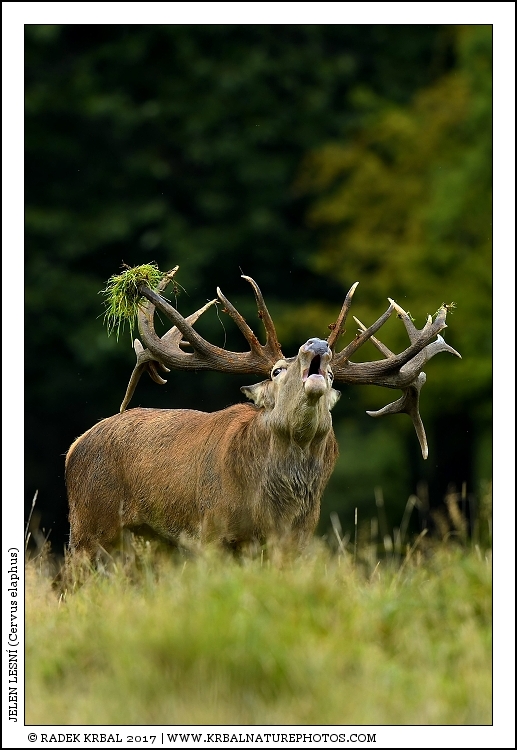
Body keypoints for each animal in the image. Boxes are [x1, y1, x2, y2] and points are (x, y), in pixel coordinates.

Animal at [65, 267, 460, 558]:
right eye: (276, 371)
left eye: (333, 376)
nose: (317, 344)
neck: (271, 511)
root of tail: (73, 448)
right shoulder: (211, 530)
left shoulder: (297, 539)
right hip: (88, 524)